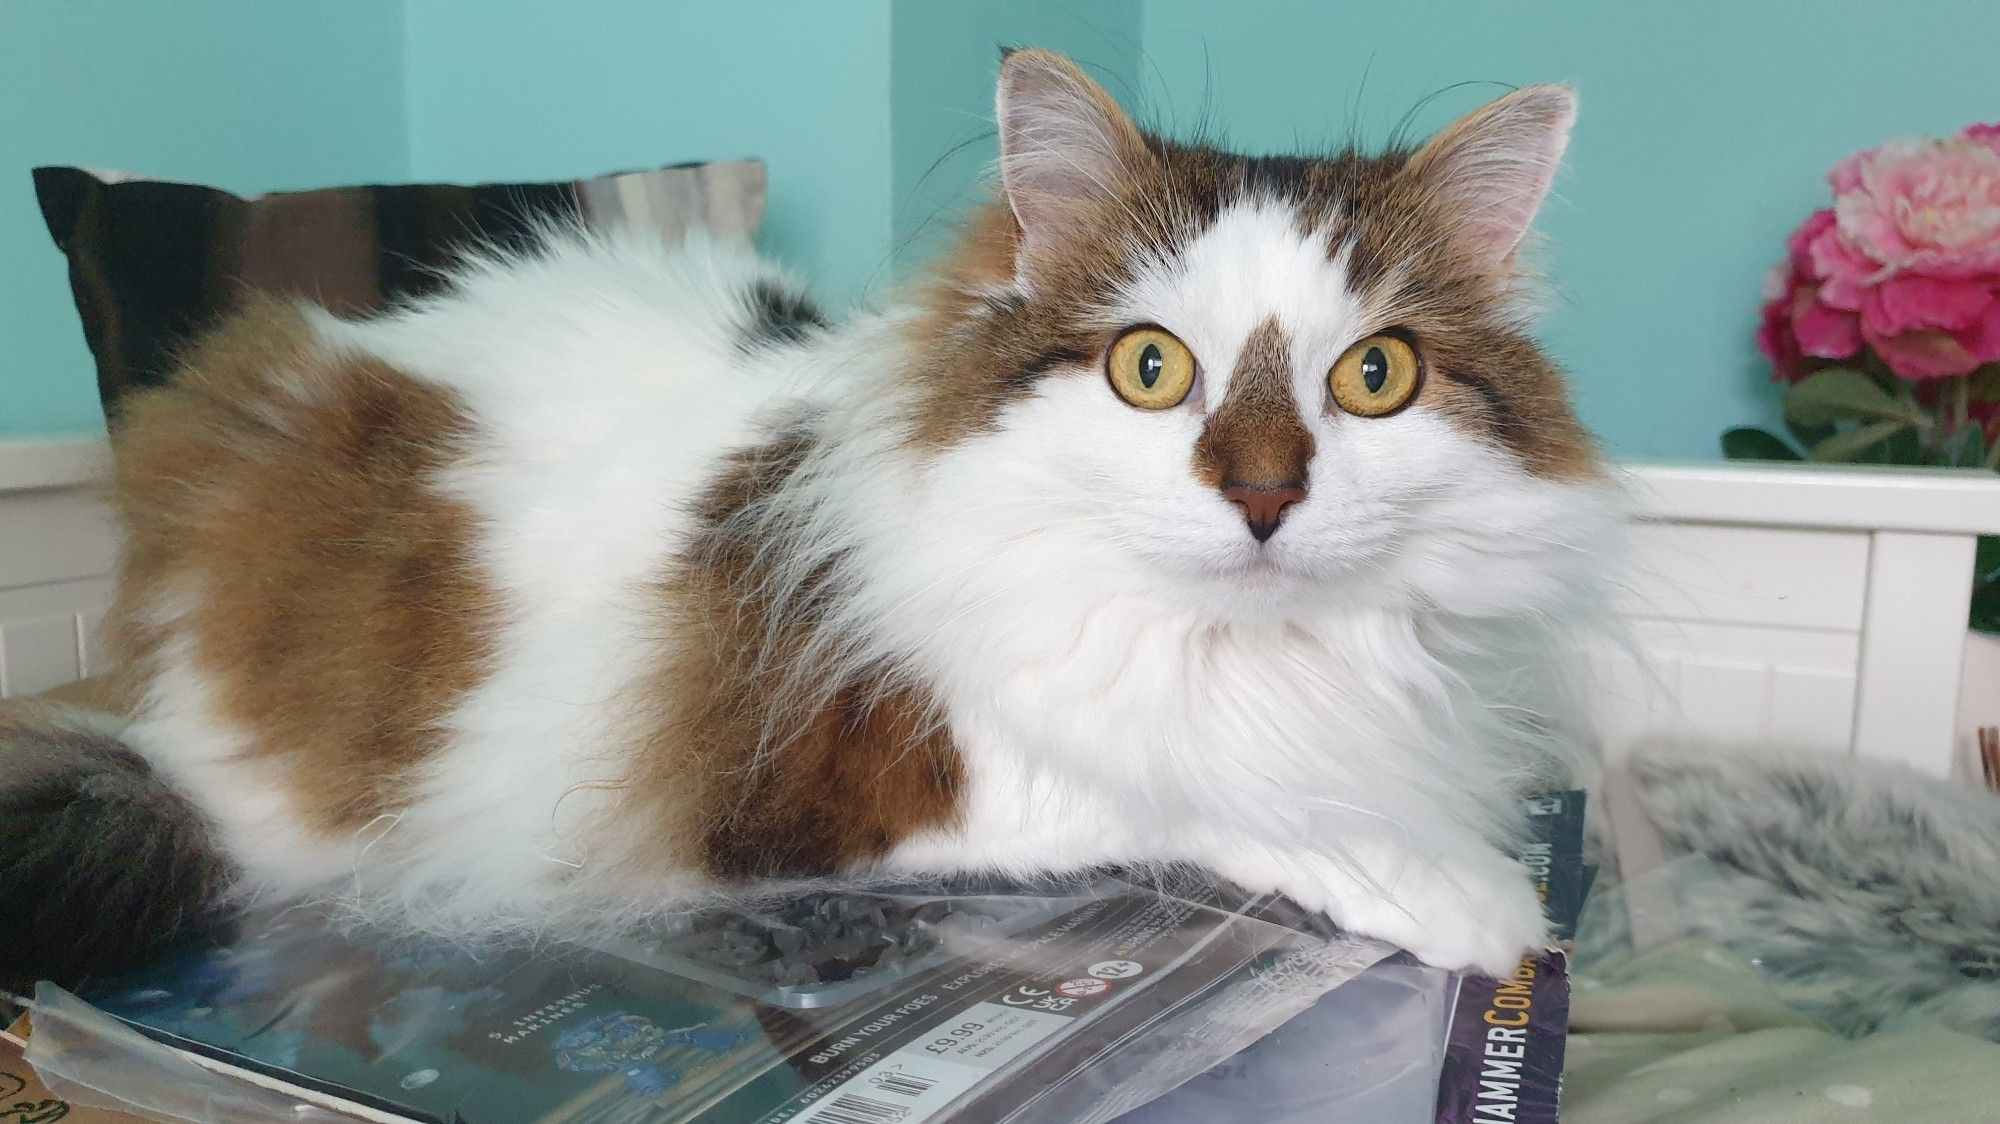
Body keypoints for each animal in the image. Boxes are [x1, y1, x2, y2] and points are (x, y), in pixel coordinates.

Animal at [0, 48, 1616, 984]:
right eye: (1152, 369)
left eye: (1374, 377)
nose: (1266, 496)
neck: (1259, 653)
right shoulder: (850, 780)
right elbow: (1192, 787)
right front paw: (1483, 902)